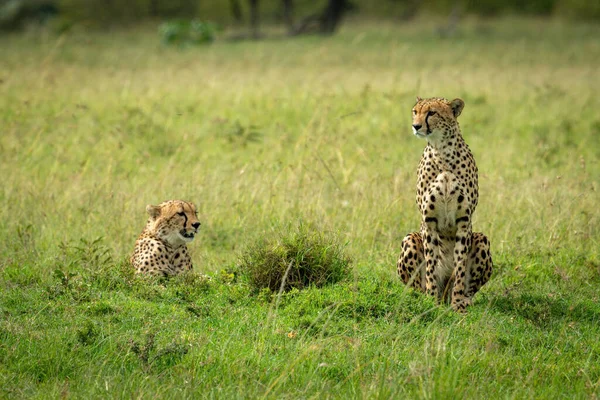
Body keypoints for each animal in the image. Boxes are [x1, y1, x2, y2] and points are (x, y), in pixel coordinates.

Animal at [398, 97, 492, 312]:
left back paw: (462, 300)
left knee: (467, 287)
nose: (416, 126)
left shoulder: (464, 220)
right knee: (418, 285)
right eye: (415, 111)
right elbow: (431, 264)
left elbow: (459, 266)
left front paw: (458, 304)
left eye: (431, 113)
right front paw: (430, 301)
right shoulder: (429, 220)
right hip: (409, 238)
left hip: (482, 238)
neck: (441, 150)